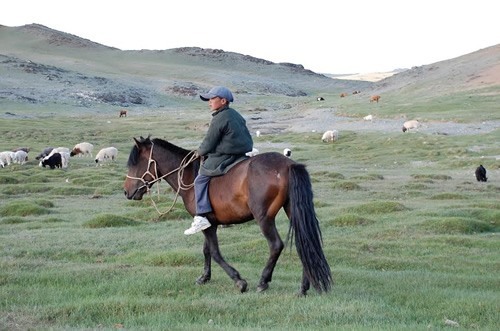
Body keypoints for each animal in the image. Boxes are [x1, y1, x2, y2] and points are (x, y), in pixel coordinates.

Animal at [123, 136, 332, 296]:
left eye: (135, 163)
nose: (126, 192)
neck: (190, 174)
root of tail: (288, 165)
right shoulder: (209, 222)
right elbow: (207, 250)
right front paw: (204, 277)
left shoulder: (208, 224)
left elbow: (215, 253)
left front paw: (239, 281)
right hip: (292, 210)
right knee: (304, 241)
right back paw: (303, 287)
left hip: (264, 217)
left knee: (276, 245)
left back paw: (263, 282)